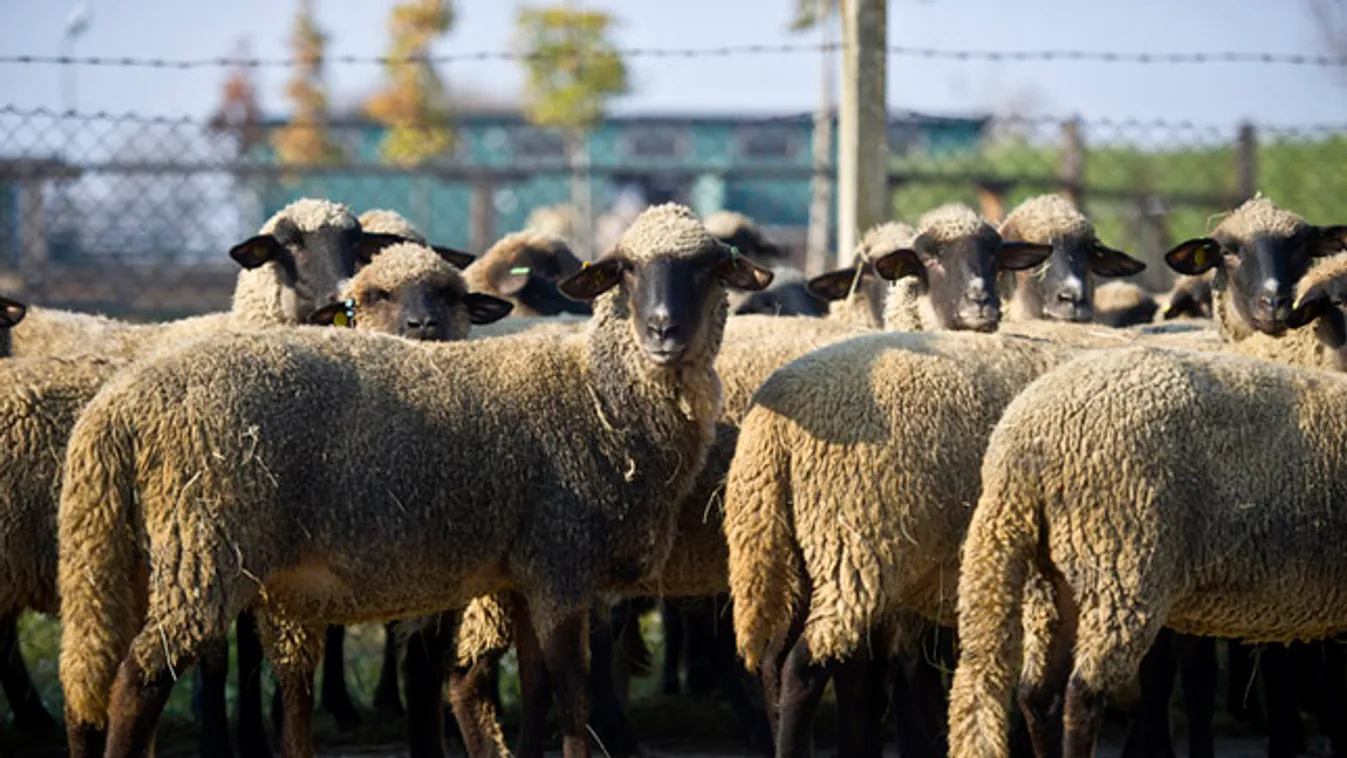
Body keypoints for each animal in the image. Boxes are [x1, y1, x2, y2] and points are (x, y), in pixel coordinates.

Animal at [57, 201, 775, 758]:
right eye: (624, 270)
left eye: (711, 269)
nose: (662, 330)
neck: (597, 393)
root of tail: (119, 403)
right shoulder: (563, 559)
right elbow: (573, 696)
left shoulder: (524, 572)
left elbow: (537, 685)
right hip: (204, 548)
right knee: (139, 679)